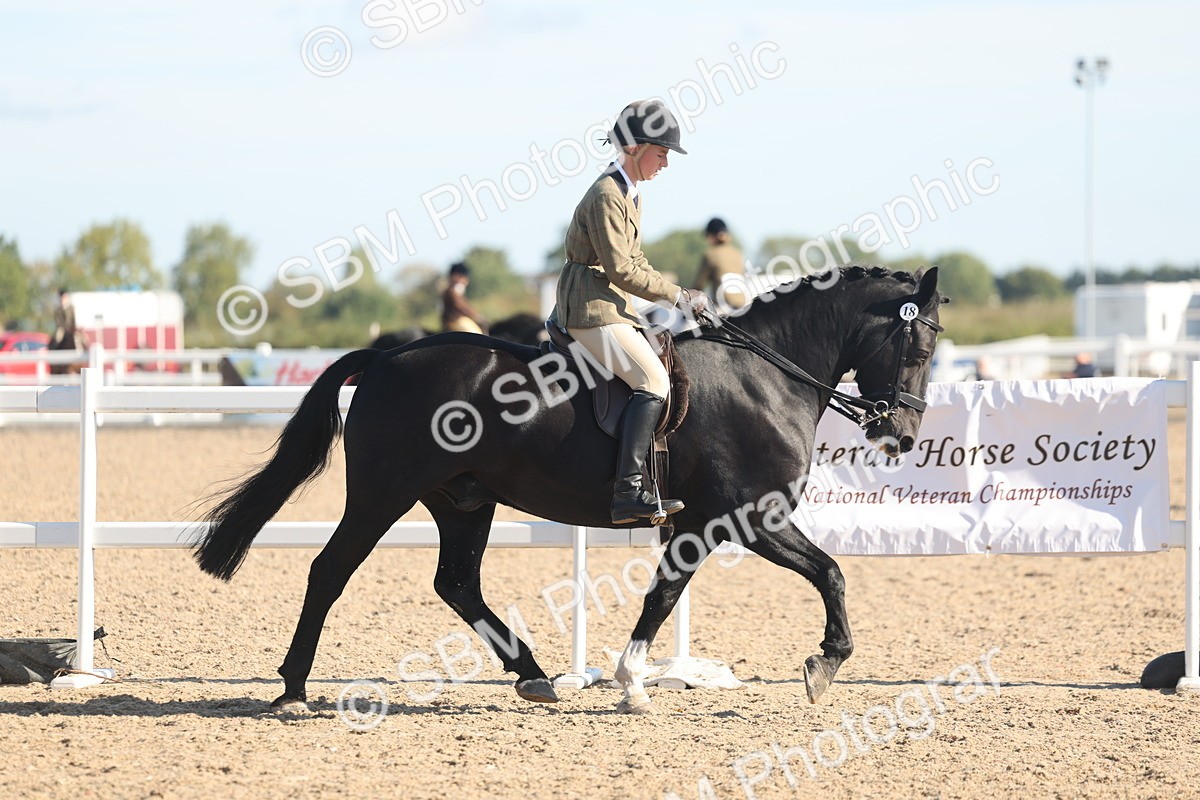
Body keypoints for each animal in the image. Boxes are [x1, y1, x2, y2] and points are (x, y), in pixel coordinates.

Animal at [192, 265, 946, 713]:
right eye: (918, 346)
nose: (902, 436)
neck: (765, 377)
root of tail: (387, 355)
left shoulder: (697, 524)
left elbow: (667, 592)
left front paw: (633, 681)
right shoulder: (747, 516)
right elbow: (830, 572)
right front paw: (824, 664)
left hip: (463, 500)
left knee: (456, 583)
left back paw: (533, 674)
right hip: (384, 495)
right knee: (330, 571)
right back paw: (292, 689)